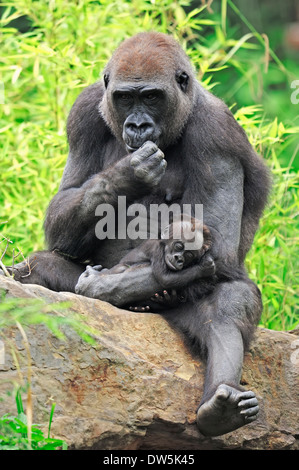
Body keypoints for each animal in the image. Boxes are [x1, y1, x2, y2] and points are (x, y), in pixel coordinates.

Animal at [75, 218, 216, 312]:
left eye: (189, 255)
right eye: (179, 246)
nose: (179, 259)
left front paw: (169, 299)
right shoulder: (156, 250)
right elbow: (165, 278)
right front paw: (203, 268)